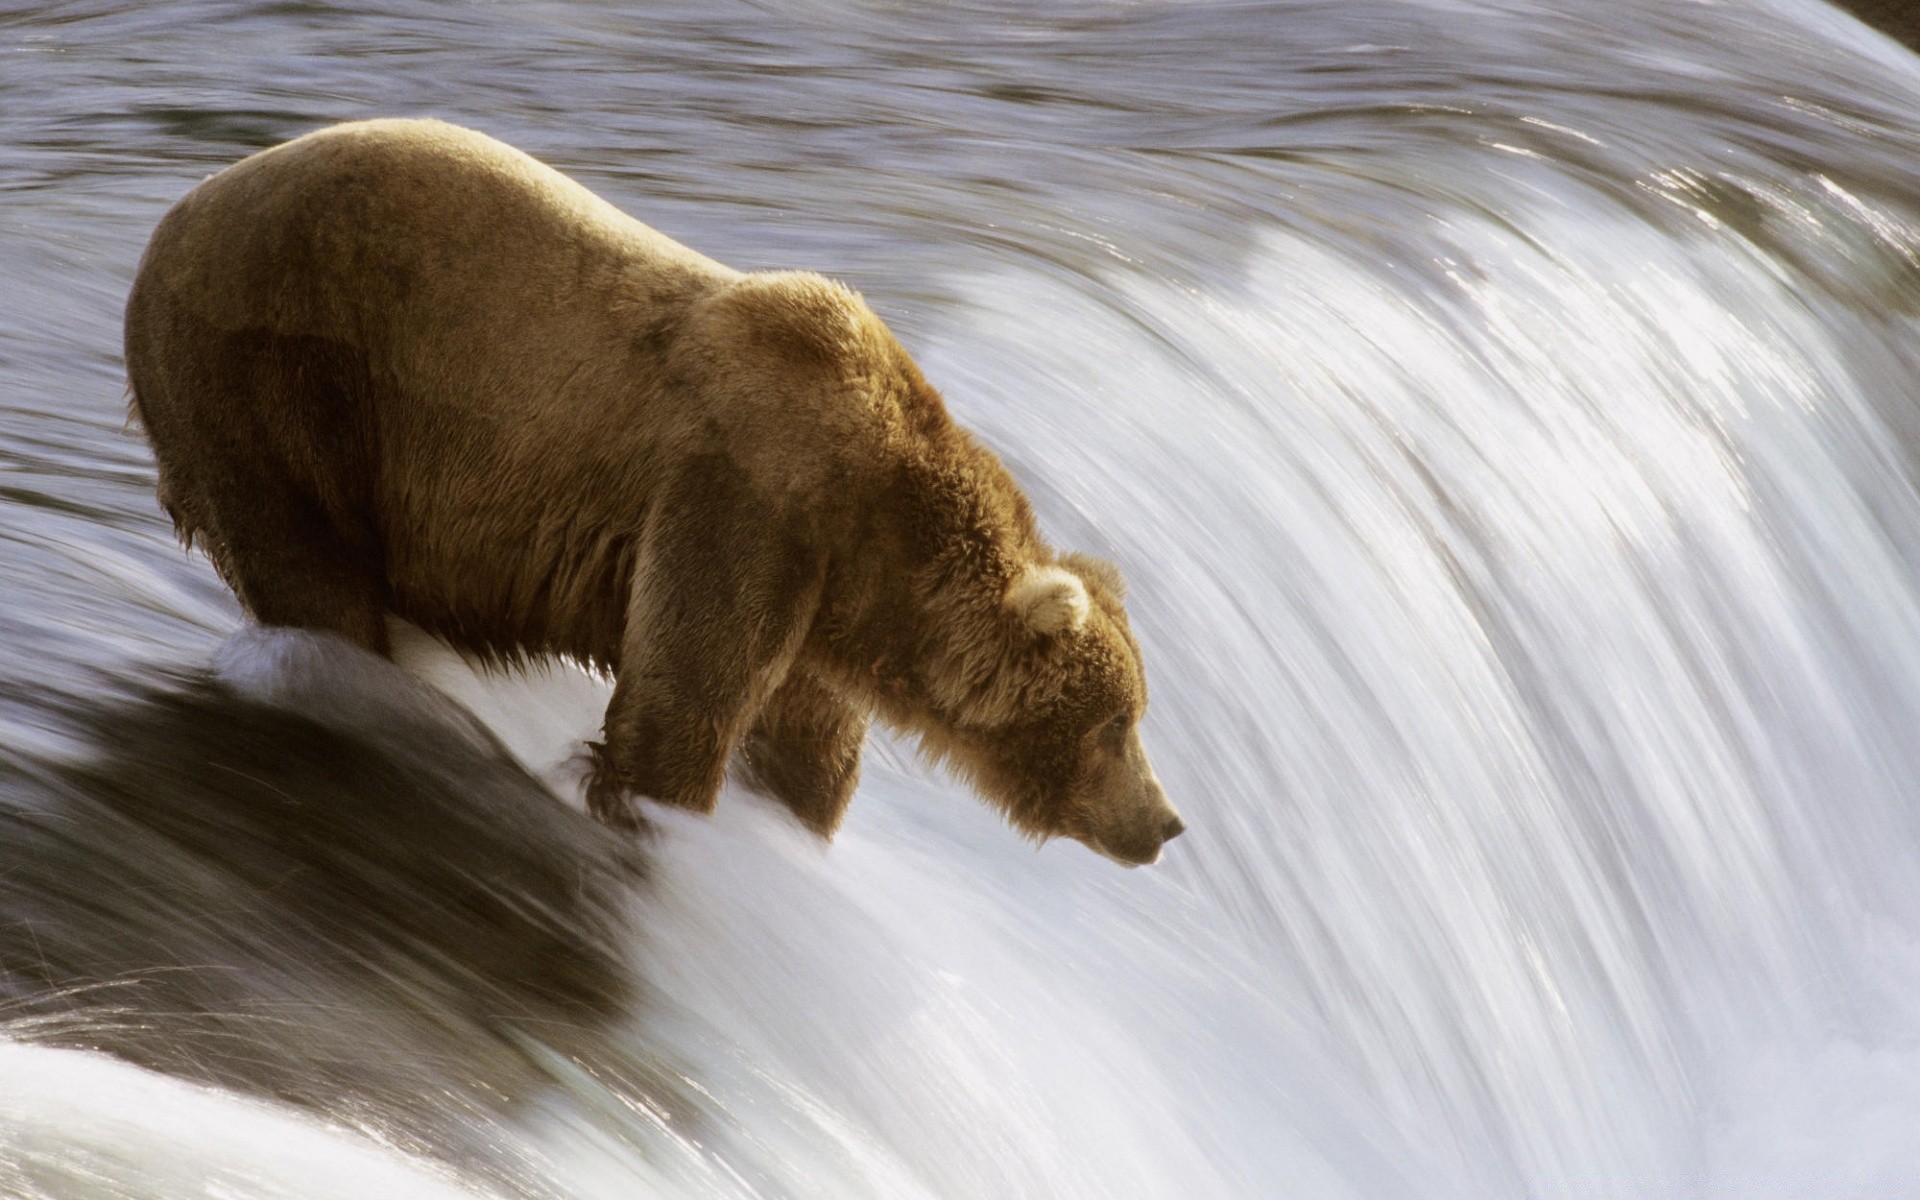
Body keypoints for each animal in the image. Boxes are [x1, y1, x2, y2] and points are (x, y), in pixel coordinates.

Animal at [123, 119, 1182, 860]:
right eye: (1115, 722)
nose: (1165, 821)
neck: (875, 527)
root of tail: (172, 217)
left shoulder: (820, 604)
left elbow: (805, 749)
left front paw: (792, 822)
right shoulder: (745, 500)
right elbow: (681, 706)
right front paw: (659, 814)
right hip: (278, 379)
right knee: (310, 570)